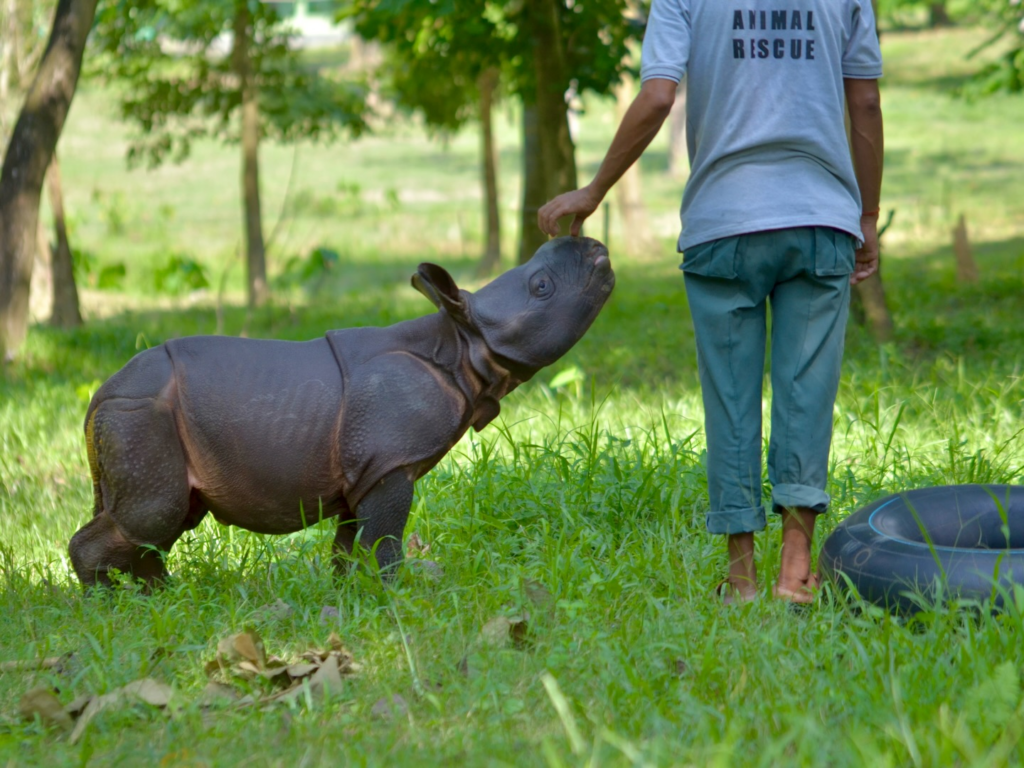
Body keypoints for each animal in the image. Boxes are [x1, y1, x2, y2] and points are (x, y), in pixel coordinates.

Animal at [69, 236, 614, 587]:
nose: (597, 249)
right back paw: (108, 604)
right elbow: (385, 539)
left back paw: (162, 598)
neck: (459, 346)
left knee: (166, 519)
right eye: (542, 287)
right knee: (152, 515)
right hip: (139, 415)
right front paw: (396, 594)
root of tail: (97, 398)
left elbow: (351, 542)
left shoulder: (366, 467)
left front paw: (348, 594)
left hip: (141, 419)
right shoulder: (391, 462)